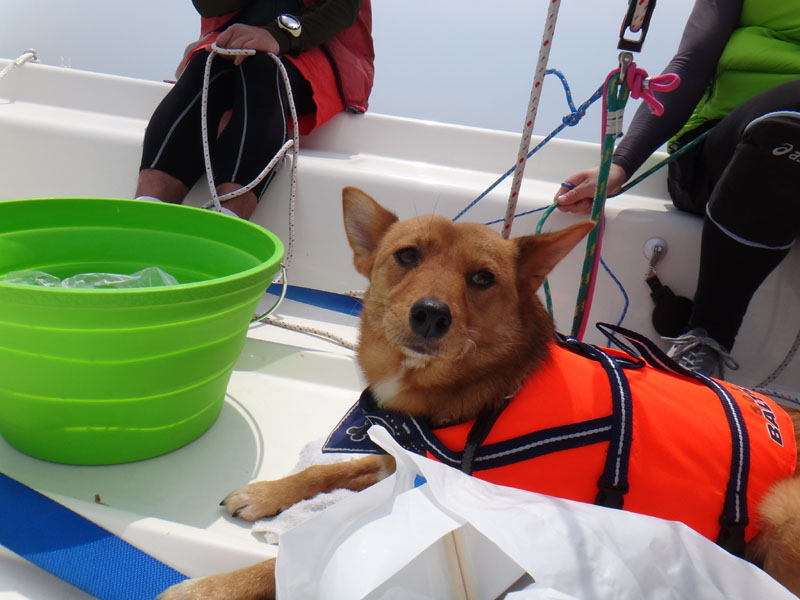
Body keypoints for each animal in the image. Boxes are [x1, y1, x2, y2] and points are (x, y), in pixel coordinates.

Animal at [159, 187, 800, 599]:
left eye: (482, 279)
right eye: (407, 255)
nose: (430, 314)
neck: (484, 394)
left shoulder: (467, 519)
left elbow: (284, 567)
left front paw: (209, 588)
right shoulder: (404, 461)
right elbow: (332, 469)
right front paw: (267, 493)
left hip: (783, 505)